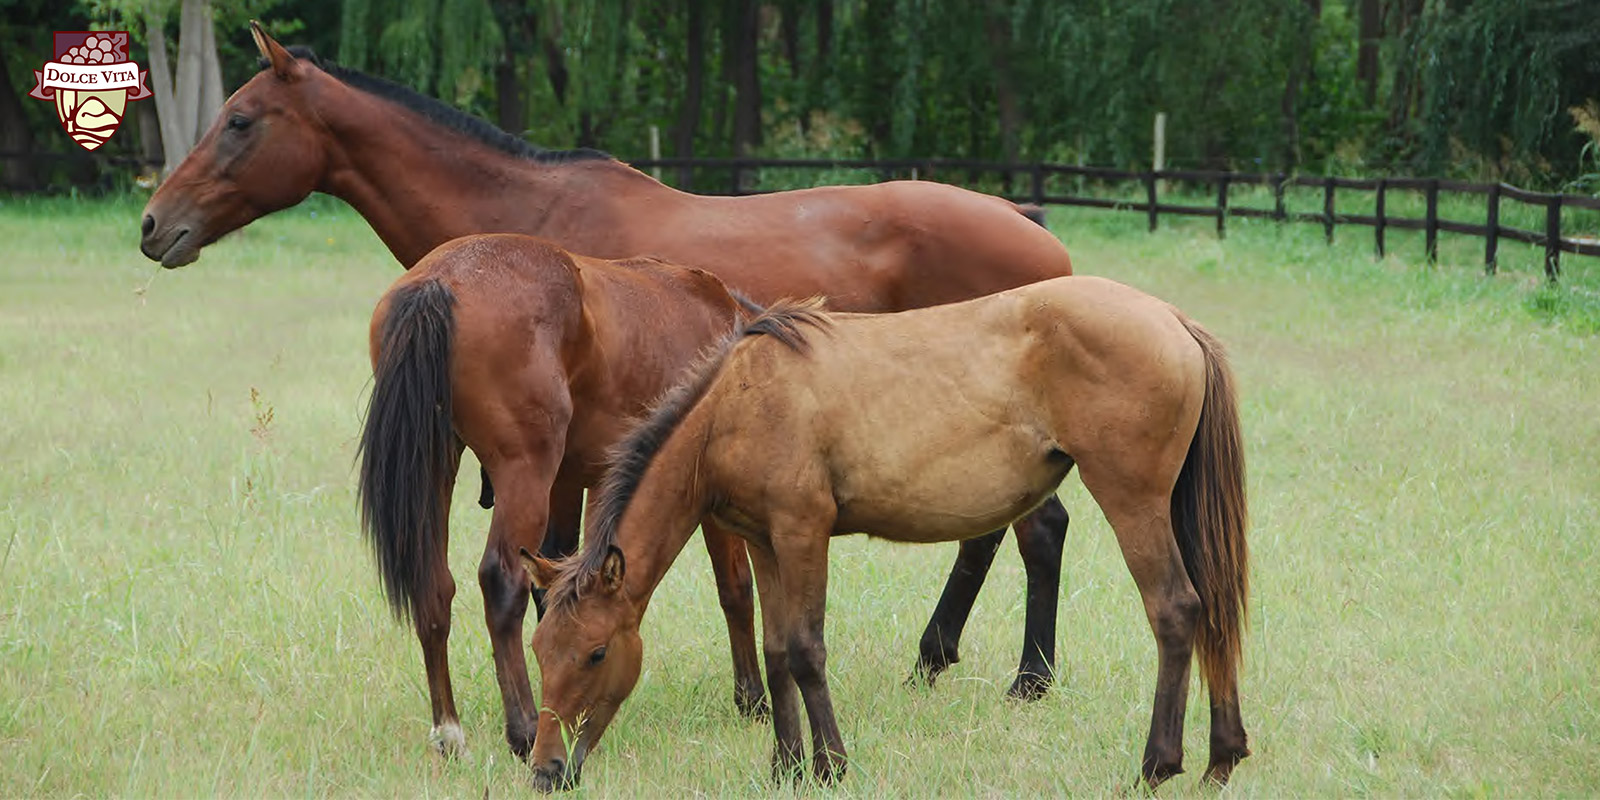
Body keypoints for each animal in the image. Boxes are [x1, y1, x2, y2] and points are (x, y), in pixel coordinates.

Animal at [364, 233, 761, 755]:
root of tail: (438, 280)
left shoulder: (581, 485)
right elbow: (736, 587)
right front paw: (753, 699)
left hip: (438, 466)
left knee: (434, 586)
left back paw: (450, 731)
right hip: (524, 474)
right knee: (501, 581)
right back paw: (524, 727)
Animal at [524, 278, 1248, 790]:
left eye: (595, 653)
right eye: (539, 651)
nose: (545, 771)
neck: (735, 405)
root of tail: (1172, 320)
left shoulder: (803, 533)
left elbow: (806, 650)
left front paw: (830, 766)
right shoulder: (764, 542)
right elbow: (776, 651)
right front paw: (787, 766)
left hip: (1134, 503)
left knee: (1176, 611)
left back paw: (1158, 765)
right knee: (1210, 614)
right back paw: (1222, 757)